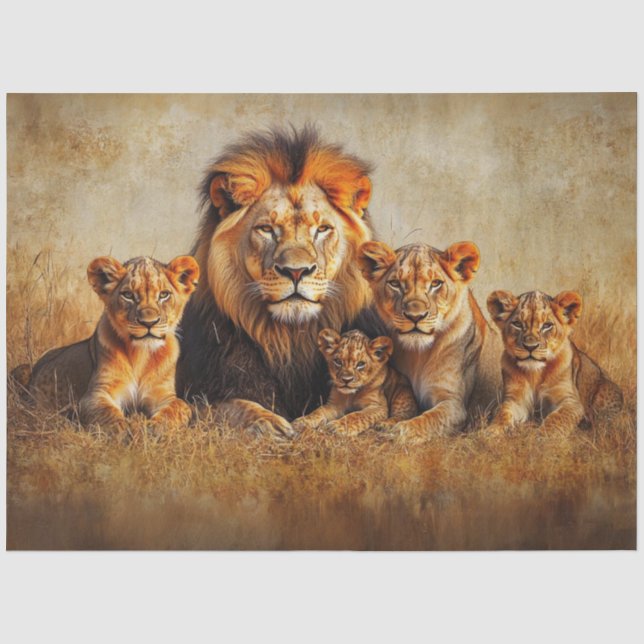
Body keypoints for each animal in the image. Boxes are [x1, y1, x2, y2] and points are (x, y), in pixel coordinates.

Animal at [20, 255, 199, 432]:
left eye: (164, 295)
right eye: (128, 295)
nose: (149, 323)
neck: (141, 354)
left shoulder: (164, 394)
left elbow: (178, 408)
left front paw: (155, 429)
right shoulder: (96, 393)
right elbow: (107, 414)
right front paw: (126, 432)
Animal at [177, 126, 380, 438]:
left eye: (322, 229)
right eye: (266, 229)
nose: (296, 272)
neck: (291, 337)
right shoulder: (196, 391)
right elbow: (231, 406)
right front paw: (267, 422)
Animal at [357, 240, 501, 442]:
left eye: (435, 284)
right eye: (395, 284)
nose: (415, 316)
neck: (419, 355)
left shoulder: (454, 405)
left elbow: (428, 420)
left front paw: (396, 431)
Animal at [486, 289, 623, 433]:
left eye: (547, 326)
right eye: (517, 324)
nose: (530, 347)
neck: (535, 373)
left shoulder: (571, 402)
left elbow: (556, 421)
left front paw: (542, 436)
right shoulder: (515, 400)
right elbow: (502, 414)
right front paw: (489, 432)